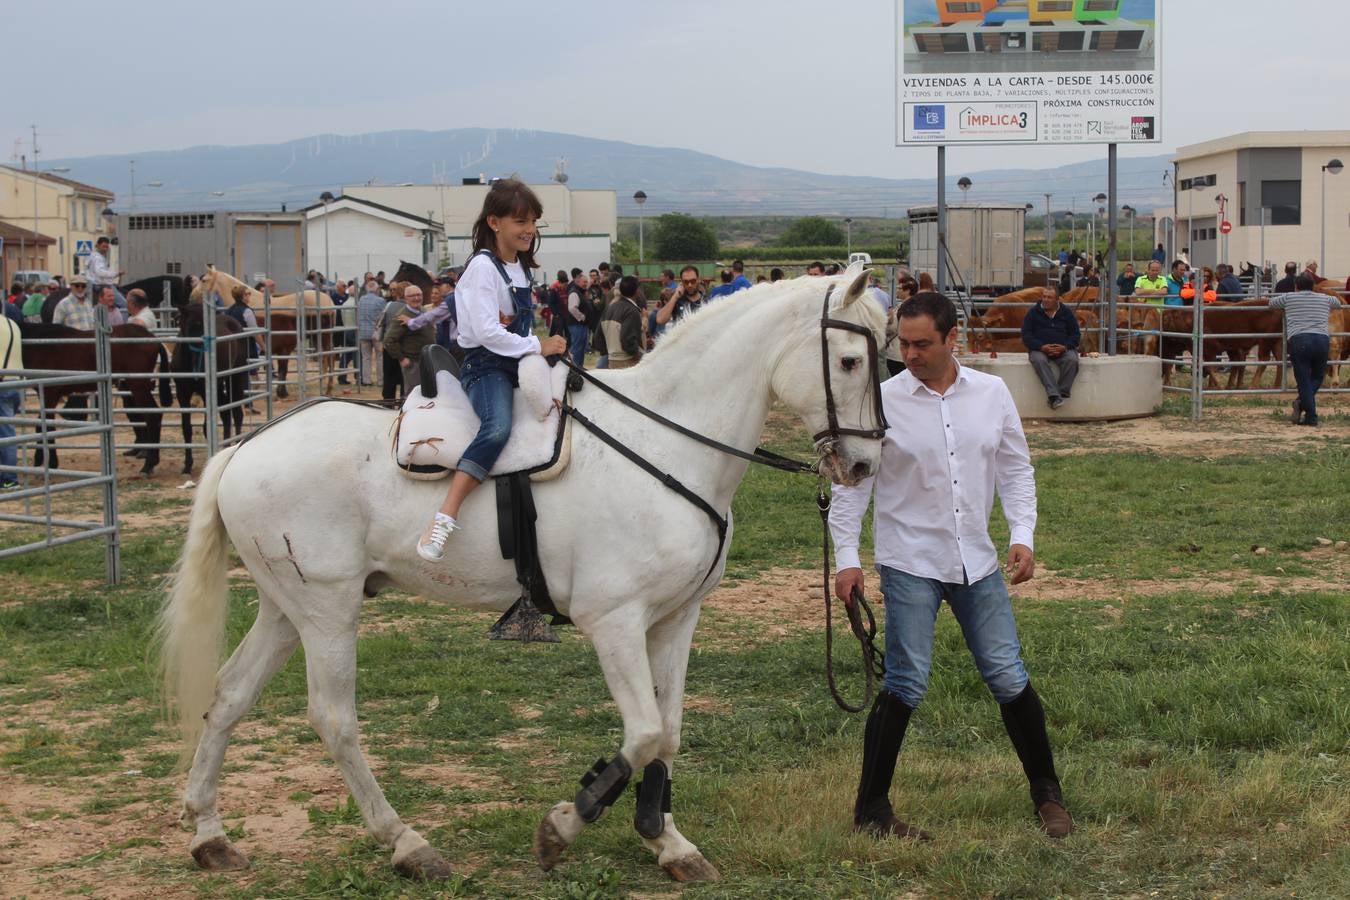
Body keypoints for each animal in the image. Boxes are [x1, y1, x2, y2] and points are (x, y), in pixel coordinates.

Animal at [155, 264, 885, 885]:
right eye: (851, 361)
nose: (864, 467)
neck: (667, 442)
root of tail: (247, 445)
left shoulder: (677, 617)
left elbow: (668, 731)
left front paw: (667, 840)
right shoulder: (614, 620)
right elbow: (645, 730)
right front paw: (566, 825)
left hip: (288, 608)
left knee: (229, 696)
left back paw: (209, 835)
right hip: (328, 610)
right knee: (334, 718)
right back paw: (407, 844)